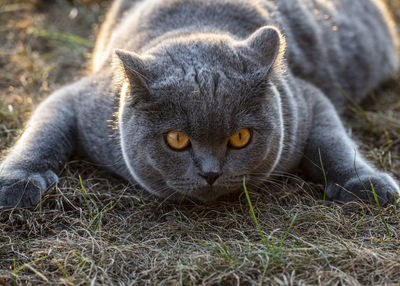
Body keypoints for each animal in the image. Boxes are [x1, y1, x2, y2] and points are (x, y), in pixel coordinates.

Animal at [0, 0, 400, 207]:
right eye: (176, 139)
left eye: (241, 137)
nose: (210, 173)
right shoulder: (79, 100)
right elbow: (42, 133)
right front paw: (16, 183)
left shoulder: (306, 100)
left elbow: (333, 141)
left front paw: (364, 183)